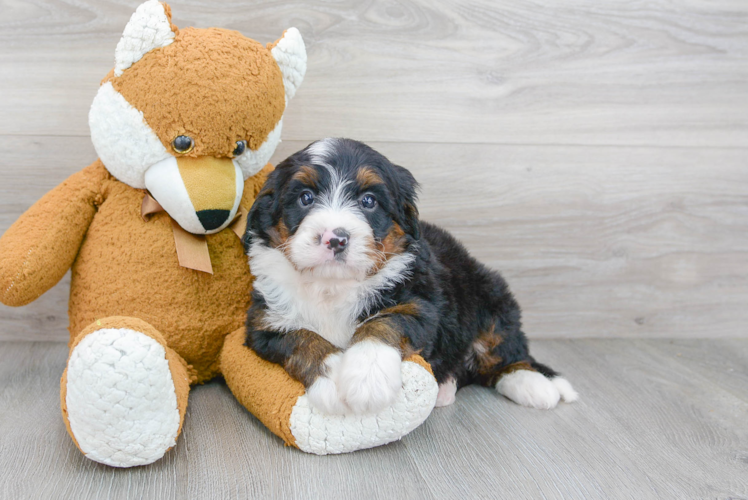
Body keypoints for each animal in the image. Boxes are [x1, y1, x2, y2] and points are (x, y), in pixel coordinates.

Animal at [245, 138, 580, 414]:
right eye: (305, 197)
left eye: (369, 201)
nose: (336, 239)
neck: (332, 285)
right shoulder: (265, 322)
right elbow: (302, 338)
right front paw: (330, 377)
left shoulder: (421, 304)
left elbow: (384, 323)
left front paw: (367, 378)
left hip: (492, 298)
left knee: (505, 351)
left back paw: (536, 384)